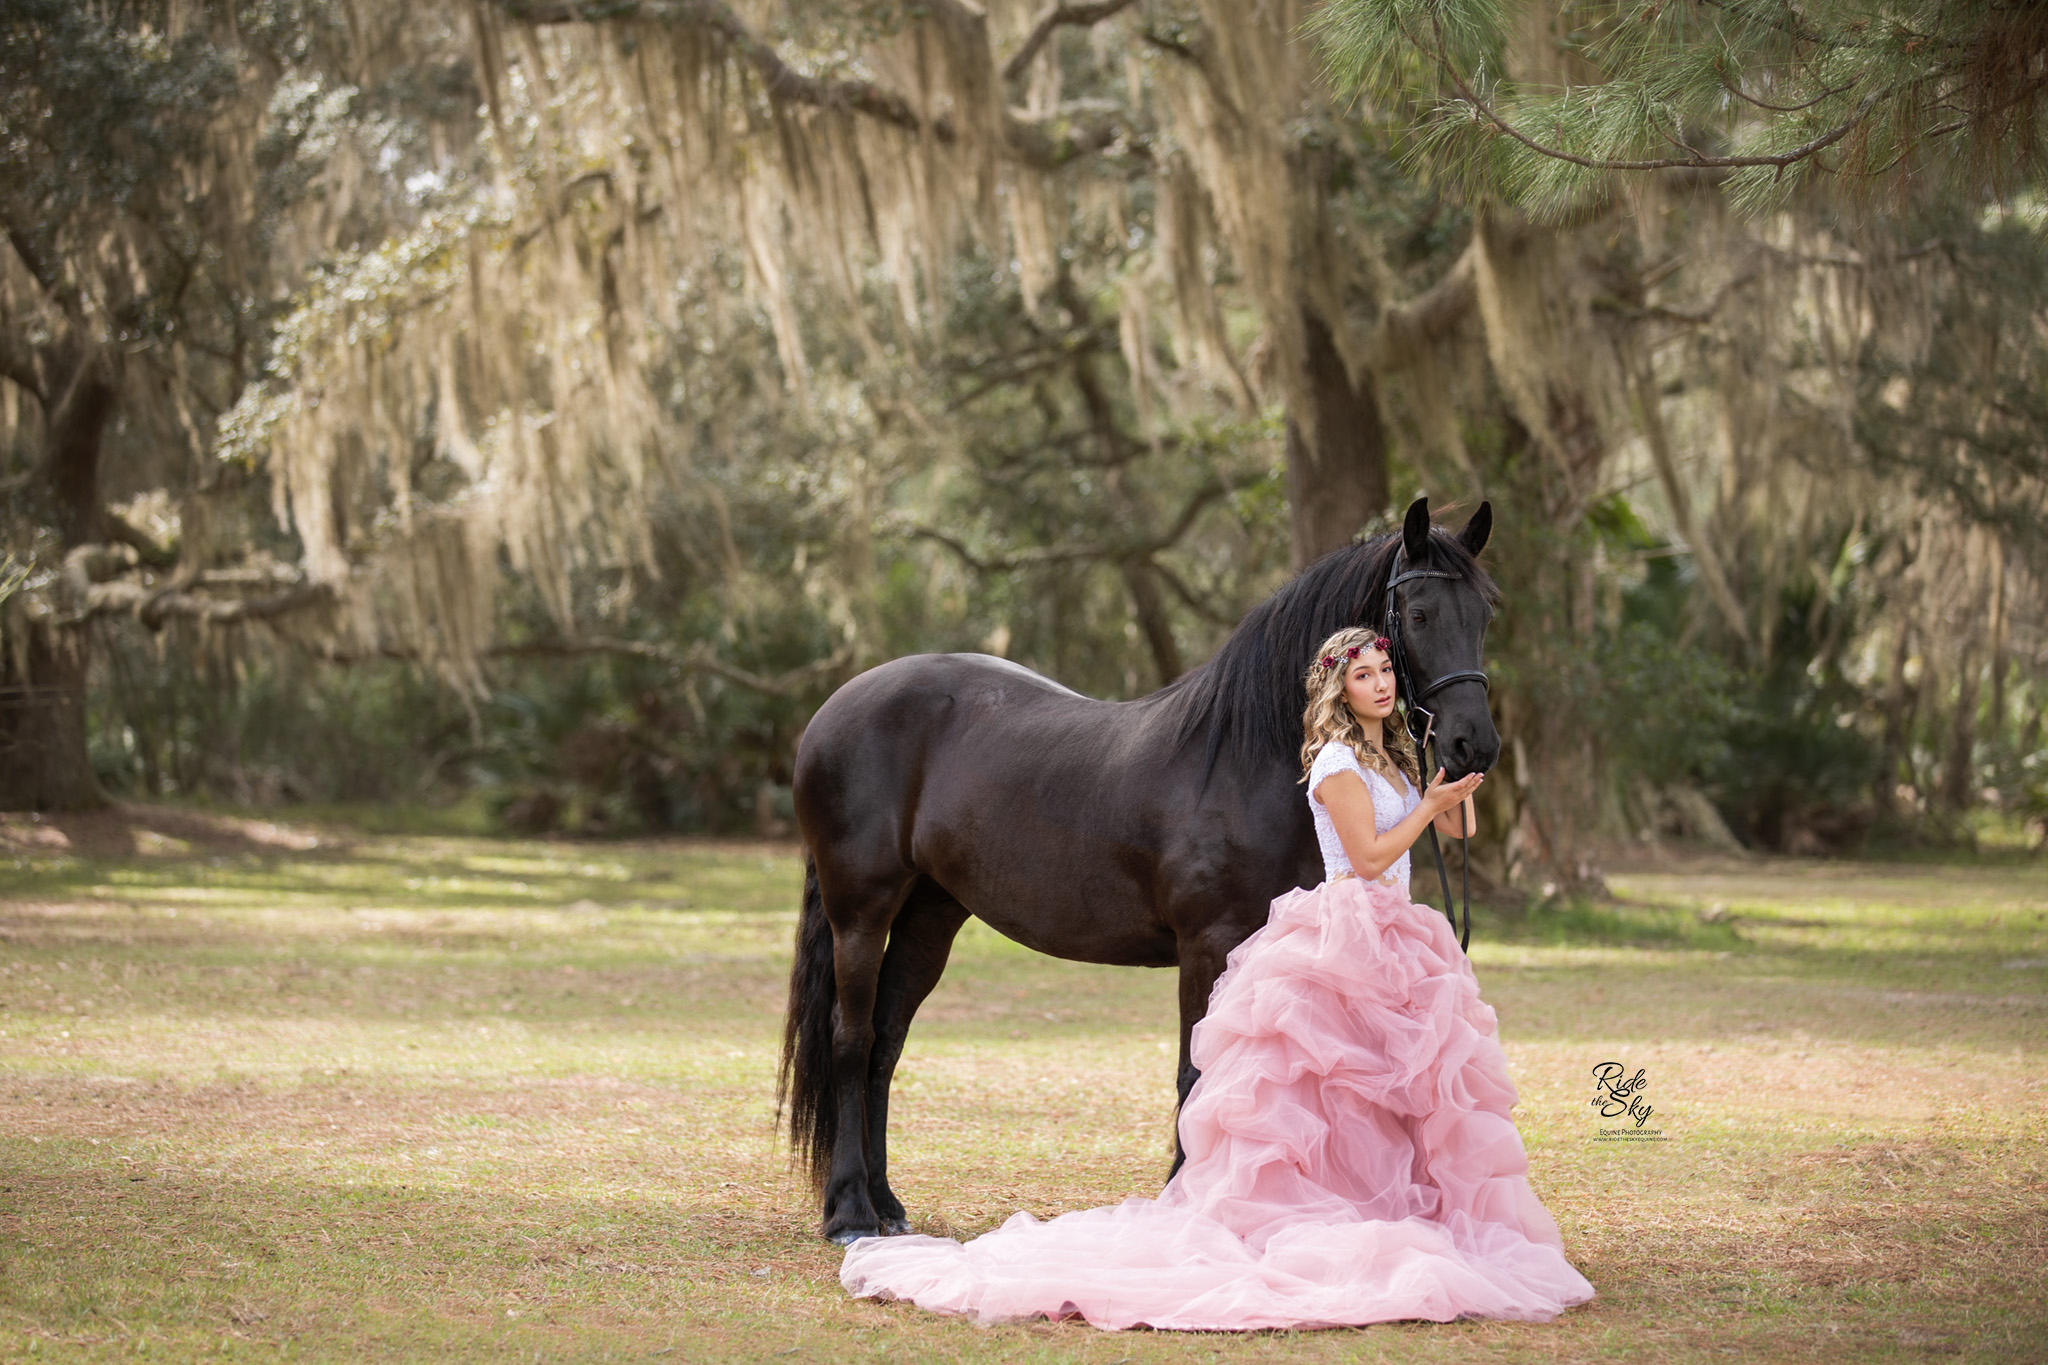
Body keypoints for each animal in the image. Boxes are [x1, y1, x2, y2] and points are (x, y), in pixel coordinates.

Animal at [774, 497, 1499, 1244]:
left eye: (1483, 614)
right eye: (1419, 614)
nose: (1473, 745)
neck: (1242, 756)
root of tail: (835, 708)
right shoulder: (1208, 943)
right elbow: (1195, 1072)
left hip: (930, 915)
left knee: (886, 1041)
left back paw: (886, 1203)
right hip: (860, 911)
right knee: (852, 1038)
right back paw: (850, 1211)